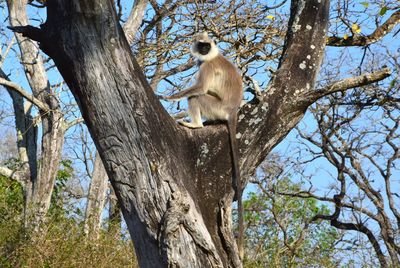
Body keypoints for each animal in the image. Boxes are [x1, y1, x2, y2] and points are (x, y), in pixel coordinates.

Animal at [162, 31, 244, 260]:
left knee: (196, 96)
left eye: (207, 46)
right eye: (201, 45)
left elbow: (200, 88)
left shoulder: (206, 66)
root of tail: (232, 110)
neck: (211, 57)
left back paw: (196, 124)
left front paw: (168, 97)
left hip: (214, 106)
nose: (204, 50)